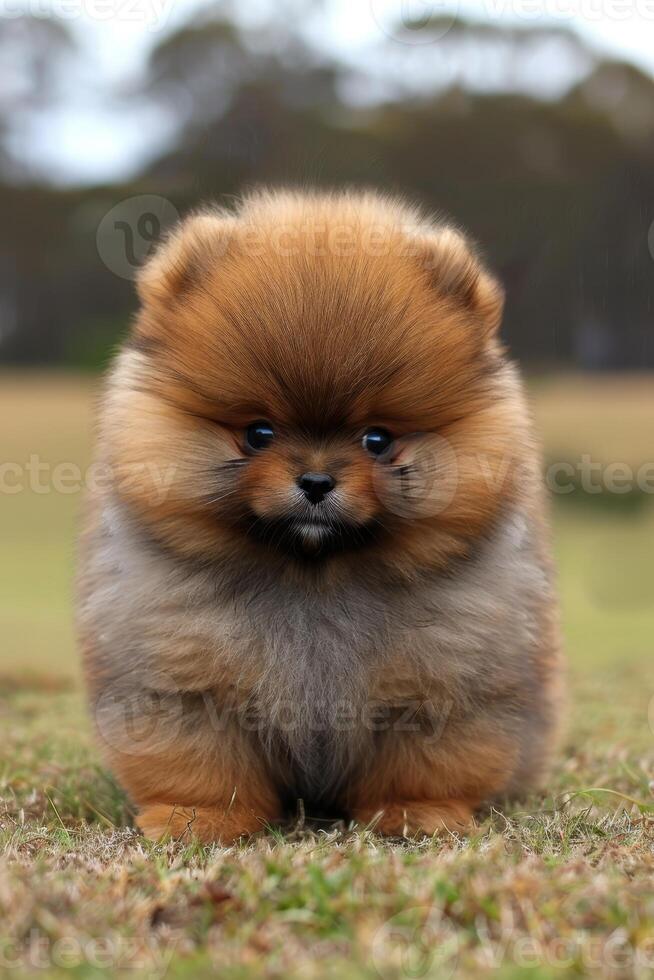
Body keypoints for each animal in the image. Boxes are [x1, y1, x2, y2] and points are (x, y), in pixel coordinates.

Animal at [77, 191, 568, 844]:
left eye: (377, 439)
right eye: (258, 433)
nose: (315, 481)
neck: (315, 580)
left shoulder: (442, 687)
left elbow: (425, 763)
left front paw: (417, 814)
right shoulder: (183, 685)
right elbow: (202, 765)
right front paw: (197, 819)